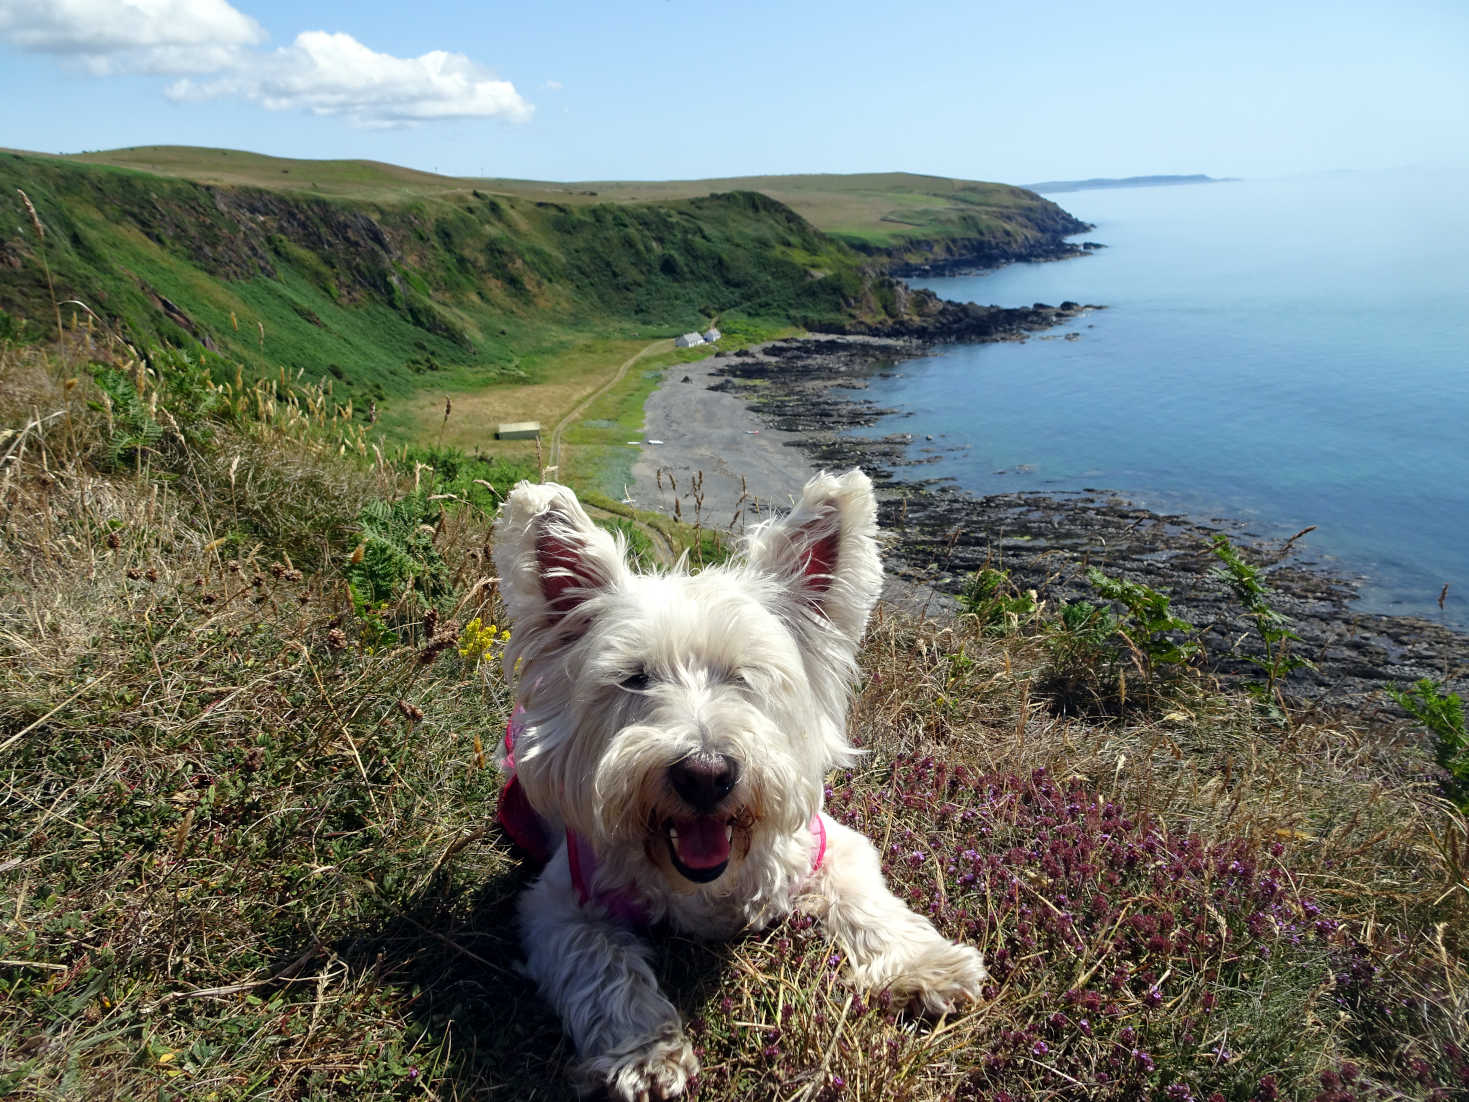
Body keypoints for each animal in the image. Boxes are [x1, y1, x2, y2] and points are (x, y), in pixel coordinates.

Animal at [493, 470, 987, 1099]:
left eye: (744, 675)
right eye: (634, 678)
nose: (705, 774)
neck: (708, 885)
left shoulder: (830, 843)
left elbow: (870, 903)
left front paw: (925, 965)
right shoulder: (559, 902)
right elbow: (601, 965)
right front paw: (646, 1050)